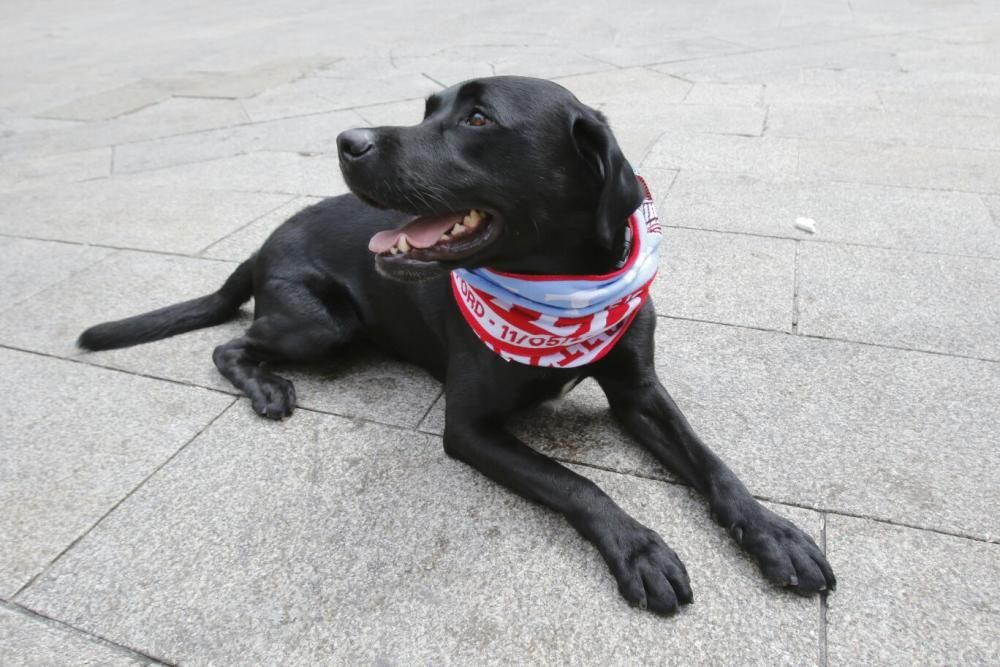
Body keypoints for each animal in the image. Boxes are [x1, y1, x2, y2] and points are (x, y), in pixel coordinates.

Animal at [82, 75, 836, 612]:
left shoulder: (639, 392)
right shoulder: (470, 428)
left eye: (478, 119)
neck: (560, 288)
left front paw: (777, 534)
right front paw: (640, 548)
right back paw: (266, 385)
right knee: (230, 345)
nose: (346, 139)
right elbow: (577, 482)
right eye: (427, 109)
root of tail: (263, 242)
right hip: (322, 324)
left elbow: (714, 465)